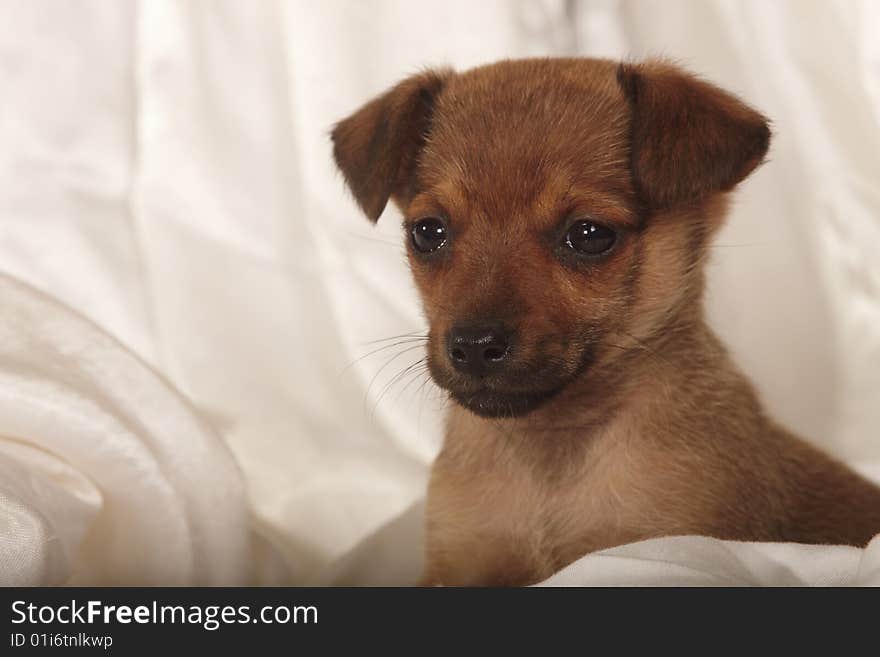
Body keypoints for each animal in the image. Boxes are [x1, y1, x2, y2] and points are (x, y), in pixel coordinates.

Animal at [330, 59, 880, 588]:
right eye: (427, 232)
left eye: (589, 235)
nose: (474, 344)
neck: (550, 449)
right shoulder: (459, 562)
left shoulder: (669, 544)